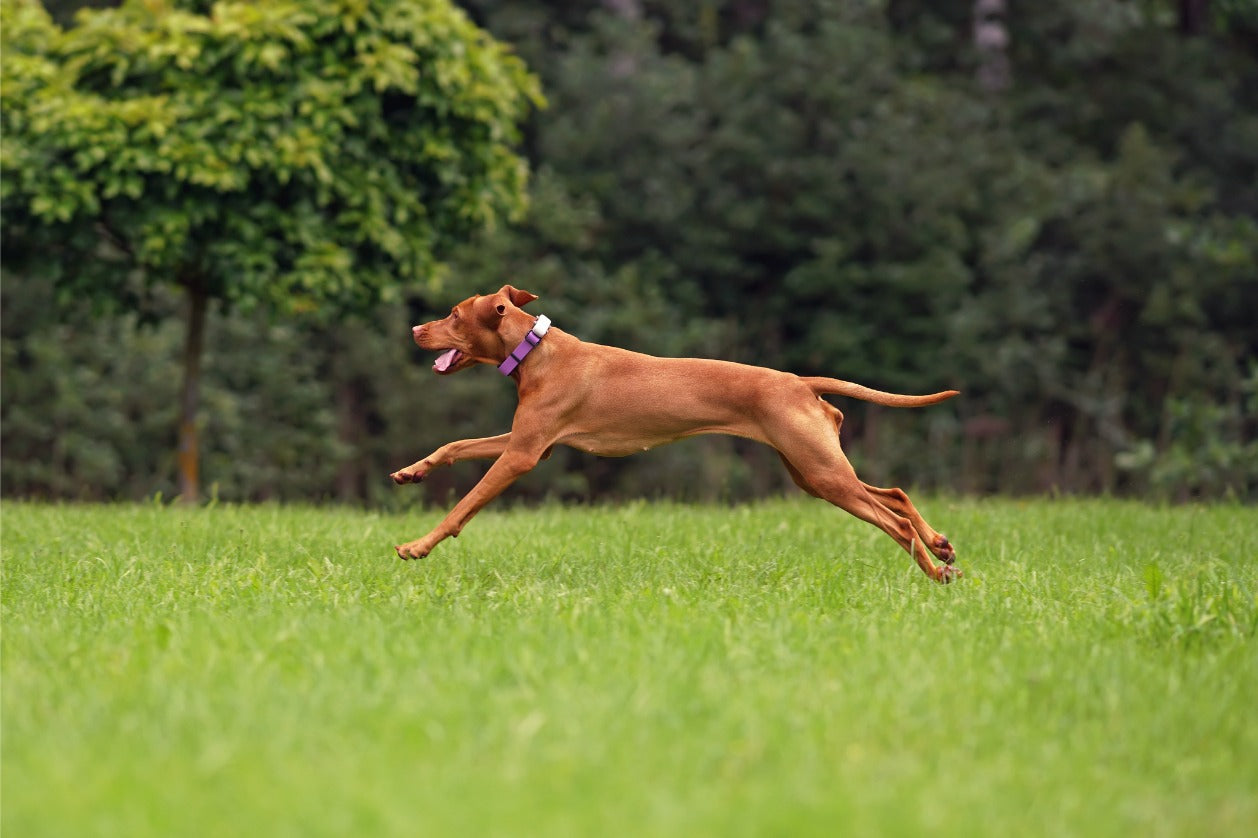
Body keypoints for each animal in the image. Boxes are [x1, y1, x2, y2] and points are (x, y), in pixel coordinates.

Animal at [392, 285, 961, 581]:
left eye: (453, 315)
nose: (415, 329)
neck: (535, 351)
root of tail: (798, 380)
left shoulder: (523, 454)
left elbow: (465, 505)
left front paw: (417, 546)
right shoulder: (531, 444)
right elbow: (454, 445)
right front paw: (412, 471)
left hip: (822, 472)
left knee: (894, 520)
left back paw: (935, 572)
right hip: (812, 471)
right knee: (895, 492)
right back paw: (942, 547)